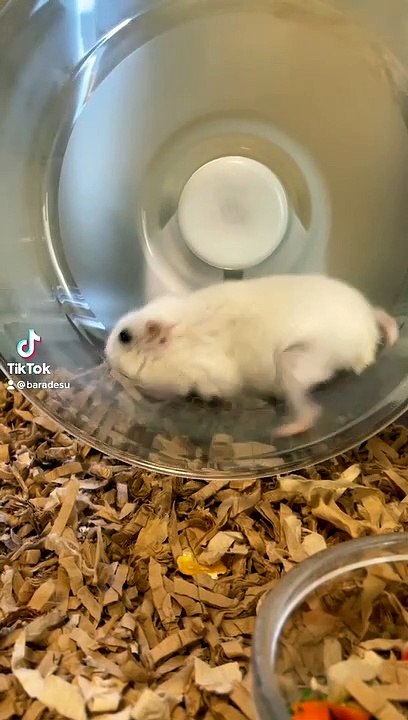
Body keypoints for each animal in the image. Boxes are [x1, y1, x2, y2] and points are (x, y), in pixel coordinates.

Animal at [105, 274, 399, 437]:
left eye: (124, 337)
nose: (105, 353)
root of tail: (369, 338)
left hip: (294, 362)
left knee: (311, 411)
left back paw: (283, 430)